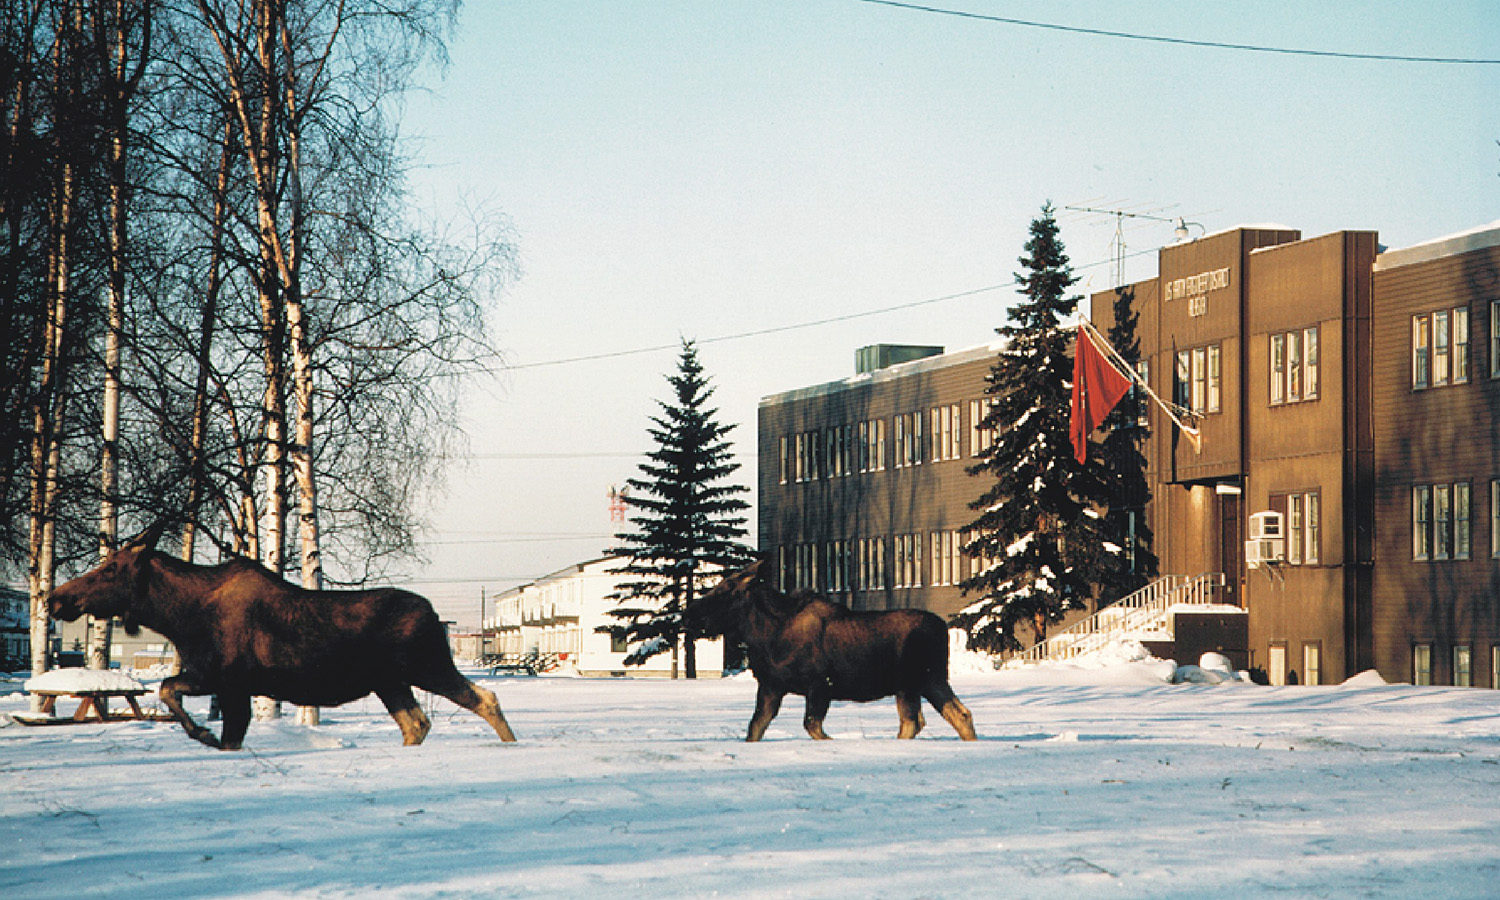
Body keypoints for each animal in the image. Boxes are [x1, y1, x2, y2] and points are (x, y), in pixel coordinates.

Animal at [48, 525, 516, 750]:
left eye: (111, 569)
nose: (56, 597)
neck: (180, 618)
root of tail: (436, 615)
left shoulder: (229, 680)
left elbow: (178, 698)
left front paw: (203, 733)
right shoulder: (214, 678)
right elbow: (167, 689)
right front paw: (201, 732)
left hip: (426, 665)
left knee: (485, 698)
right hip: (390, 682)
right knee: (417, 723)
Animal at [687, 558, 978, 741]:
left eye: (724, 590)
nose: (690, 613)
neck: (765, 637)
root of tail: (942, 629)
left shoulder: (819, 685)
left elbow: (812, 727)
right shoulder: (771, 686)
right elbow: (754, 729)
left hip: (908, 683)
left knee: (913, 722)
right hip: (931, 680)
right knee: (960, 714)